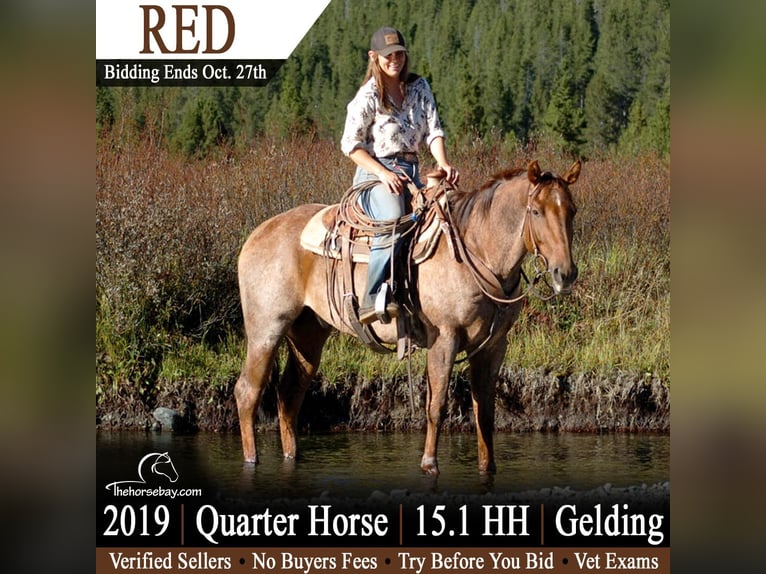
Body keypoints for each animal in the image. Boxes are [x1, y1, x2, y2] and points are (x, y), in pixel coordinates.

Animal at [234, 159, 580, 475]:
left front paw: (487, 466)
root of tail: (258, 233)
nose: (565, 274)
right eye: (536, 211)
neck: (477, 251)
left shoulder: (494, 346)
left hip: (307, 335)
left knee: (289, 395)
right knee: (247, 392)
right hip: (266, 330)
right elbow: (436, 406)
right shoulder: (445, 337)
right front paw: (429, 464)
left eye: (572, 210)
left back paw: (292, 457)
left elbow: (484, 411)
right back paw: (251, 461)